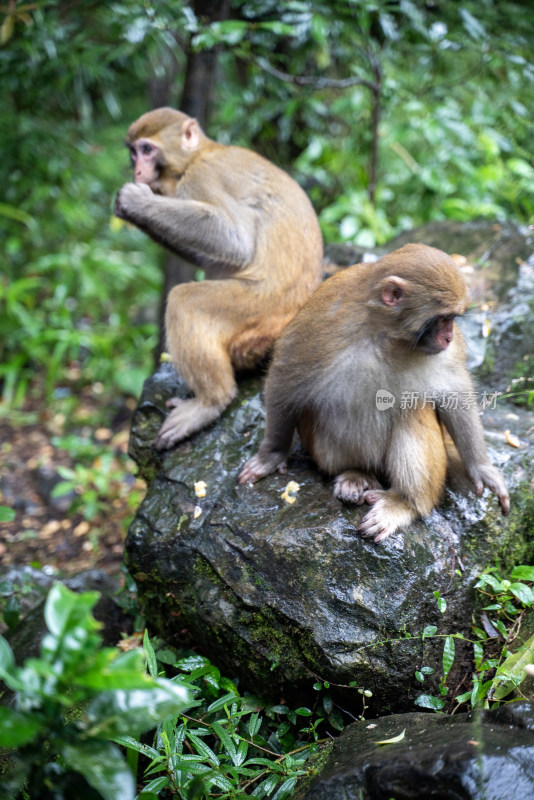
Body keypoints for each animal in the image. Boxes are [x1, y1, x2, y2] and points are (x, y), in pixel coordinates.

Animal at [115, 108, 324, 450]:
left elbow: (234, 242)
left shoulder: (202, 176)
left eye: (147, 150)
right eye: (133, 152)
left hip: (254, 310)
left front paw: (136, 203)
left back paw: (211, 402)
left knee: (184, 301)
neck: (200, 154)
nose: (137, 170)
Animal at [241, 244, 512, 544]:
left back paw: (404, 503)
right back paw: (357, 474)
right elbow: (284, 379)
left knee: (412, 407)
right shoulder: (318, 323)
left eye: (451, 319)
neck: (385, 336)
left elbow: (454, 392)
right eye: (444, 318)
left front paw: (481, 468)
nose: (449, 337)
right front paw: (272, 454)